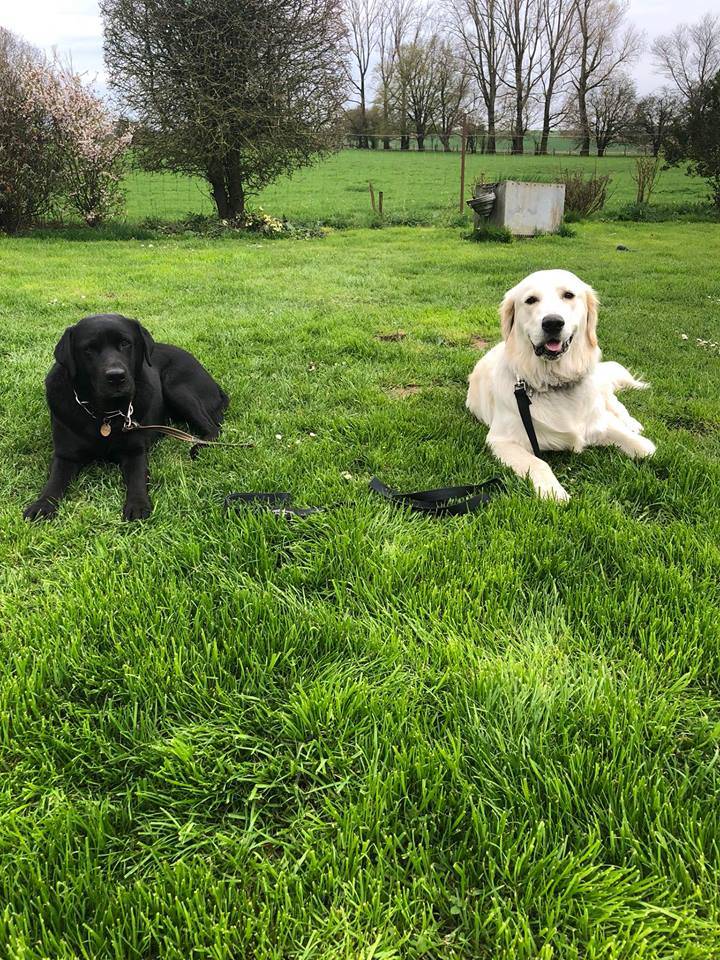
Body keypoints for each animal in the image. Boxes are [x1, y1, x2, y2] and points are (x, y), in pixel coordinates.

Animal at [24, 316, 228, 520]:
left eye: (125, 343)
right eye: (89, 349)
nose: (116, 376)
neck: (104, 415)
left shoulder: (135, 451)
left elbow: (137, 478)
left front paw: (137, 505)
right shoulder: (65, 454)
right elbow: (54, 481)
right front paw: (42, 505)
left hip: (176, 387)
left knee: (214, 429)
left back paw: (198, 447)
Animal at [464, 266, 656, 498]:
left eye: (568, 295)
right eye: (530, 300)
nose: (553, 323)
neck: (554, 382)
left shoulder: (597, 423)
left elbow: (645, 448)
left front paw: (638, 440)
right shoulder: (501, 440)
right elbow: (539, 463)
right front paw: (554, 492)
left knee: (615, 404)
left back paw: (631, 423)